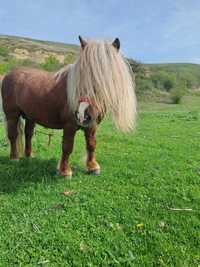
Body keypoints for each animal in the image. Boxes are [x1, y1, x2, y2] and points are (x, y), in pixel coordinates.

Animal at [0, 36, 137, 178]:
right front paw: (65, 171)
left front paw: (92, 167)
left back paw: (29, 156)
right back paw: (14, 158)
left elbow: (91, 144)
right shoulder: (69, 126)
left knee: (28, 134)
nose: (82, 114)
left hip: (30, 116)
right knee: (13, 135)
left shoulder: (92, 125)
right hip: (12, 115)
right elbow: (67, 147)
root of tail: (9, 74)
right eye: (81, 76)